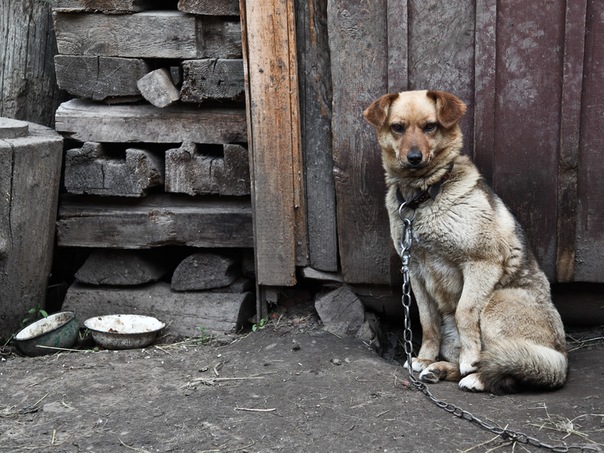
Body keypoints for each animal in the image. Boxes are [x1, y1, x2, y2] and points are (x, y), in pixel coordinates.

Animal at [366, 89, 568, 392]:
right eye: (397, 127)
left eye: (430, 126)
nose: (414, 157)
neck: (423, 196)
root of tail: (562, 357)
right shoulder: (415, 270)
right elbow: (427, 320)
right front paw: (425, 358)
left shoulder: (481, 263)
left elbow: (465, 312)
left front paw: (471, 357)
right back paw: (438, 369)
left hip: (497, 303)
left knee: (509, 363)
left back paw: (477, 375)